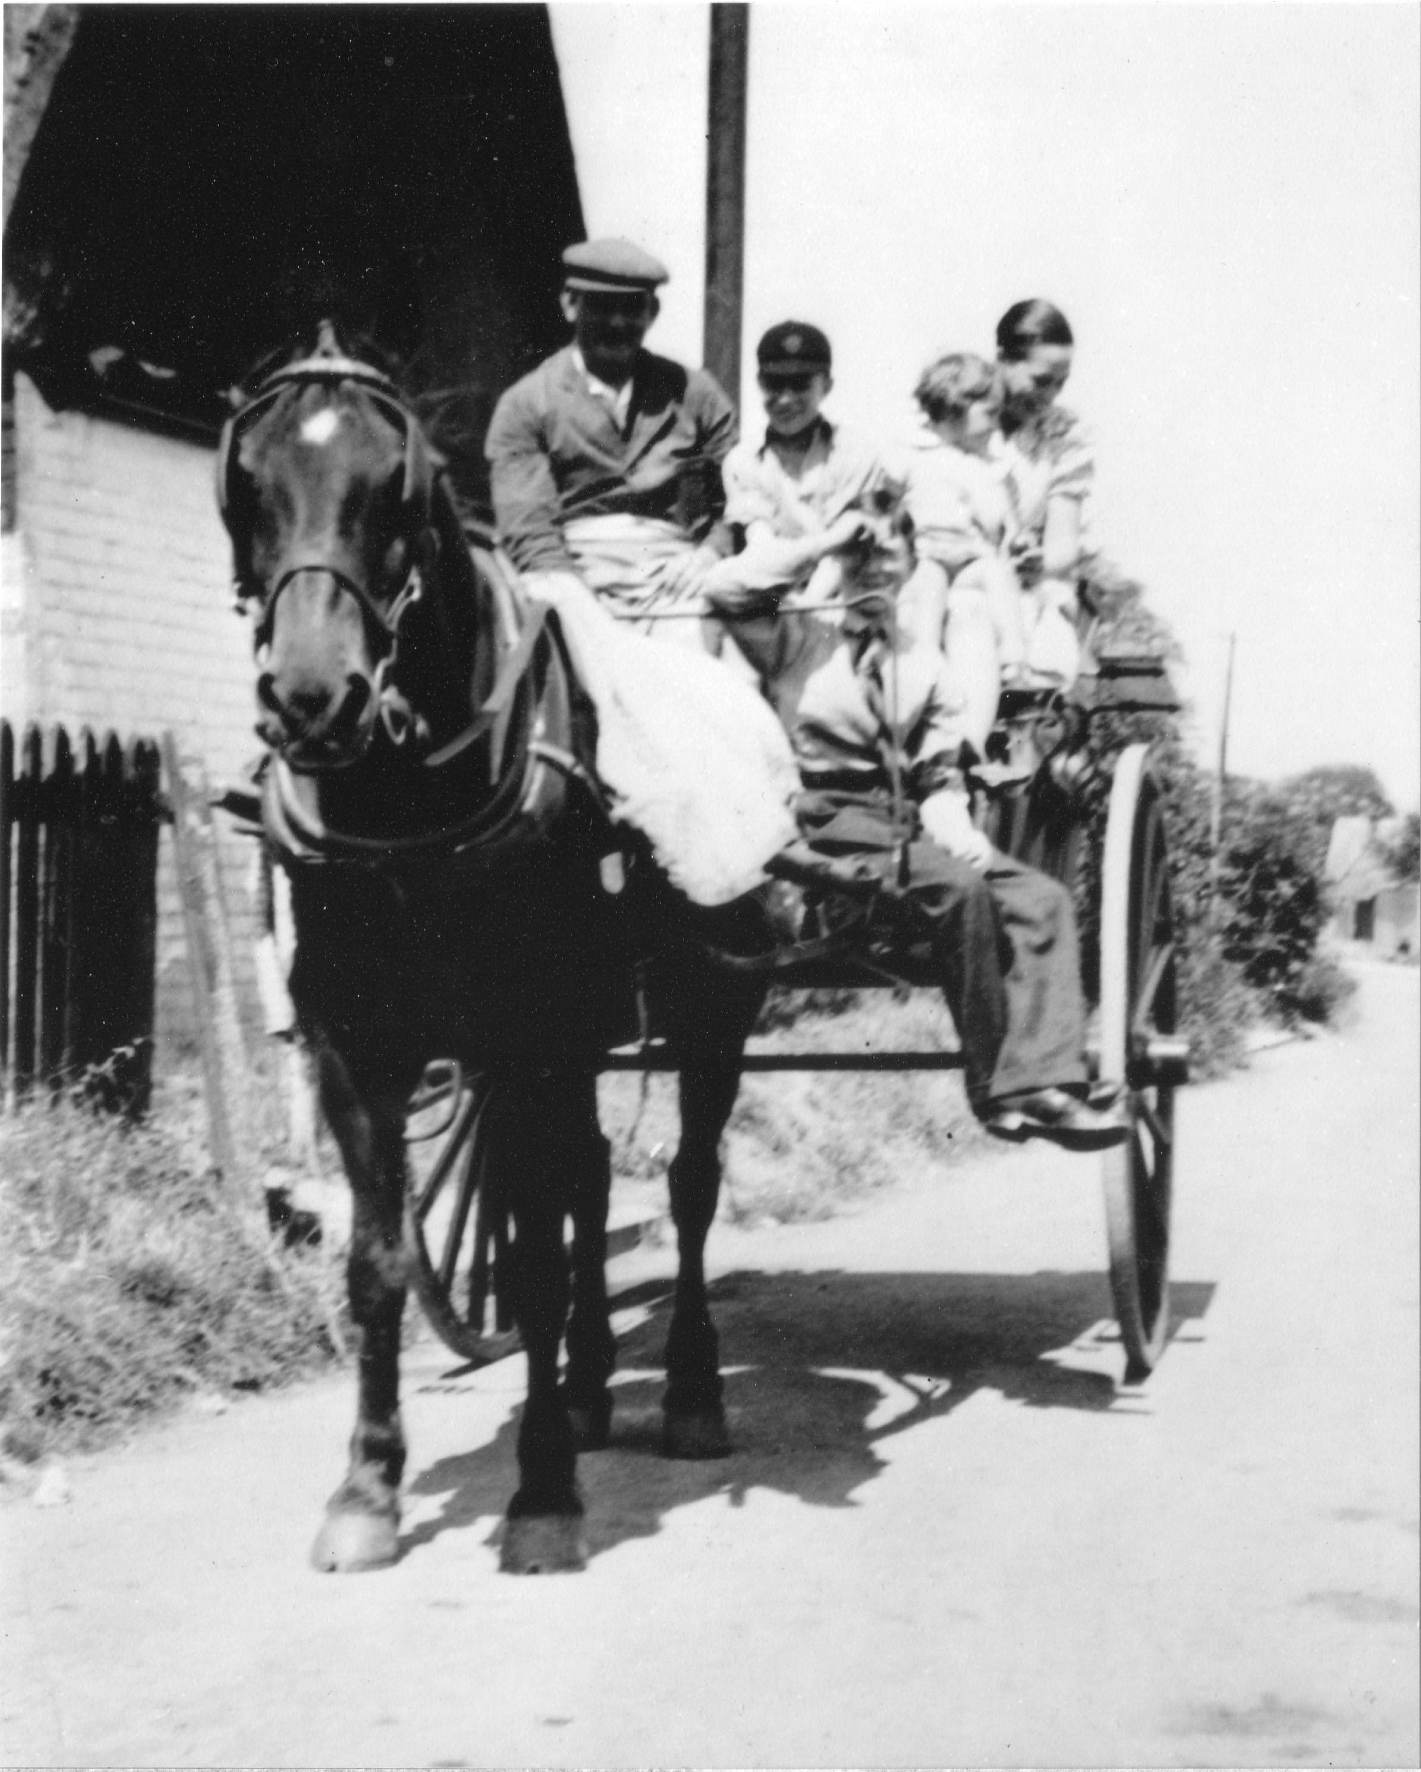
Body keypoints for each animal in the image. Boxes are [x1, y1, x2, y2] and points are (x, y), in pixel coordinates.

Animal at [218, 326, 776, 1573]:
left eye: (397, 490)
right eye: (250, 487)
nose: (313, 697)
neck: (406, 797)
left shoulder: (526, 1036)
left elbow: (527, 1254)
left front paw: (543, 1493)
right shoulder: (358, 1048)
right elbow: (382, 1262)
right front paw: (367, 1488)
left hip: (708, 1007)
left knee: (688, 1182)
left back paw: (689, 1392)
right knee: (587, 1178)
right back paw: (587, 1385)